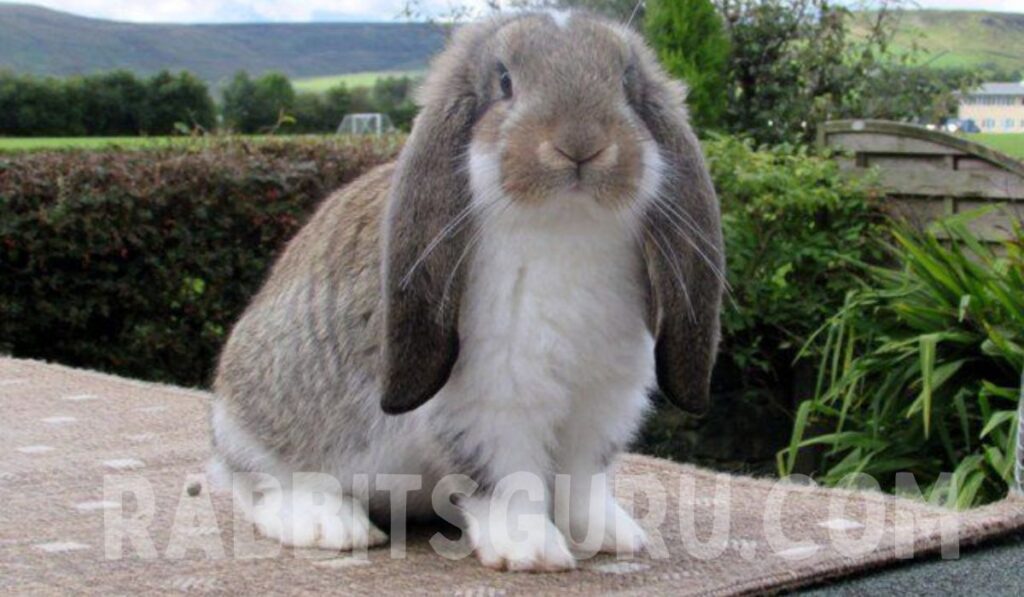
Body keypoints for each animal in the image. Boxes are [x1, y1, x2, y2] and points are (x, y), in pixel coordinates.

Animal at [207, 7, 724, 573]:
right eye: (504, 82)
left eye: (627, 82)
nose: (580, 145)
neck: (566, 228)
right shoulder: (491, 402)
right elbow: (507, 480)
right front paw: (531, 552)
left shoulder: (600, 403)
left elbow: (583, 480)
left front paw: (610, 536)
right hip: (262, 434)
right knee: (261, 489)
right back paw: (332, 526)